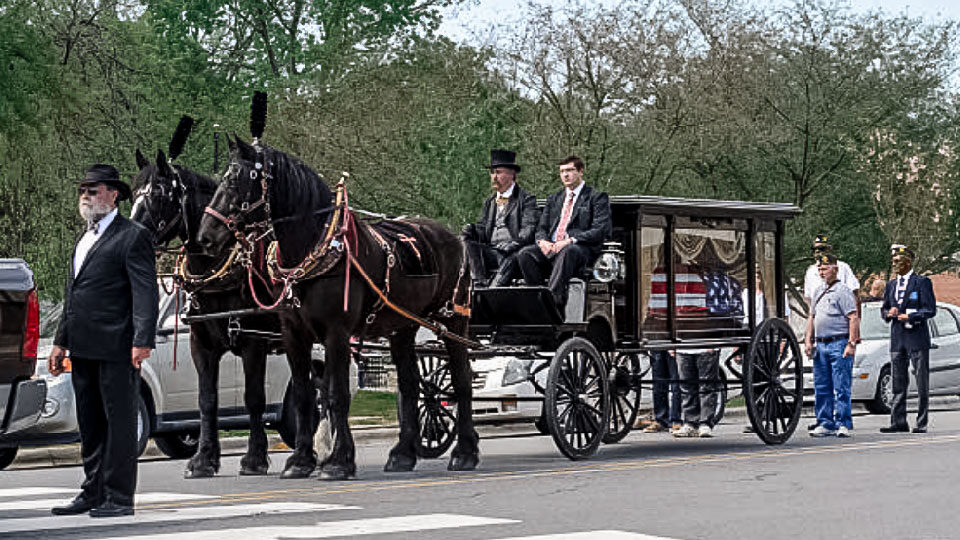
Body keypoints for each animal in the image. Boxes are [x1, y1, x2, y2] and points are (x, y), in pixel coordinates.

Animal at [129, 147, 306, 476]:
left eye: (159, 193)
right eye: (133, 192)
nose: (134, 237)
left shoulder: (252, 341)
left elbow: (254, 398)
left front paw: (254, 458)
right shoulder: (202, 344)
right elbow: (206, 399)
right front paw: (203, 459)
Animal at [197, 139, 478, 480]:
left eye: (237, 180)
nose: (205, 236)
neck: (310, 251)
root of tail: (451, 236)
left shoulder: (336, 333)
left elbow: (336, 395)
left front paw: (338, 461)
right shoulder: (294, 334)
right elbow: (304, 395)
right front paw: (301, 460)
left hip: (452, 320)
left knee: (461, 380)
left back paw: (465, 453)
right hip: (402, 326)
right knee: (411, 386)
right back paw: (401, 454)